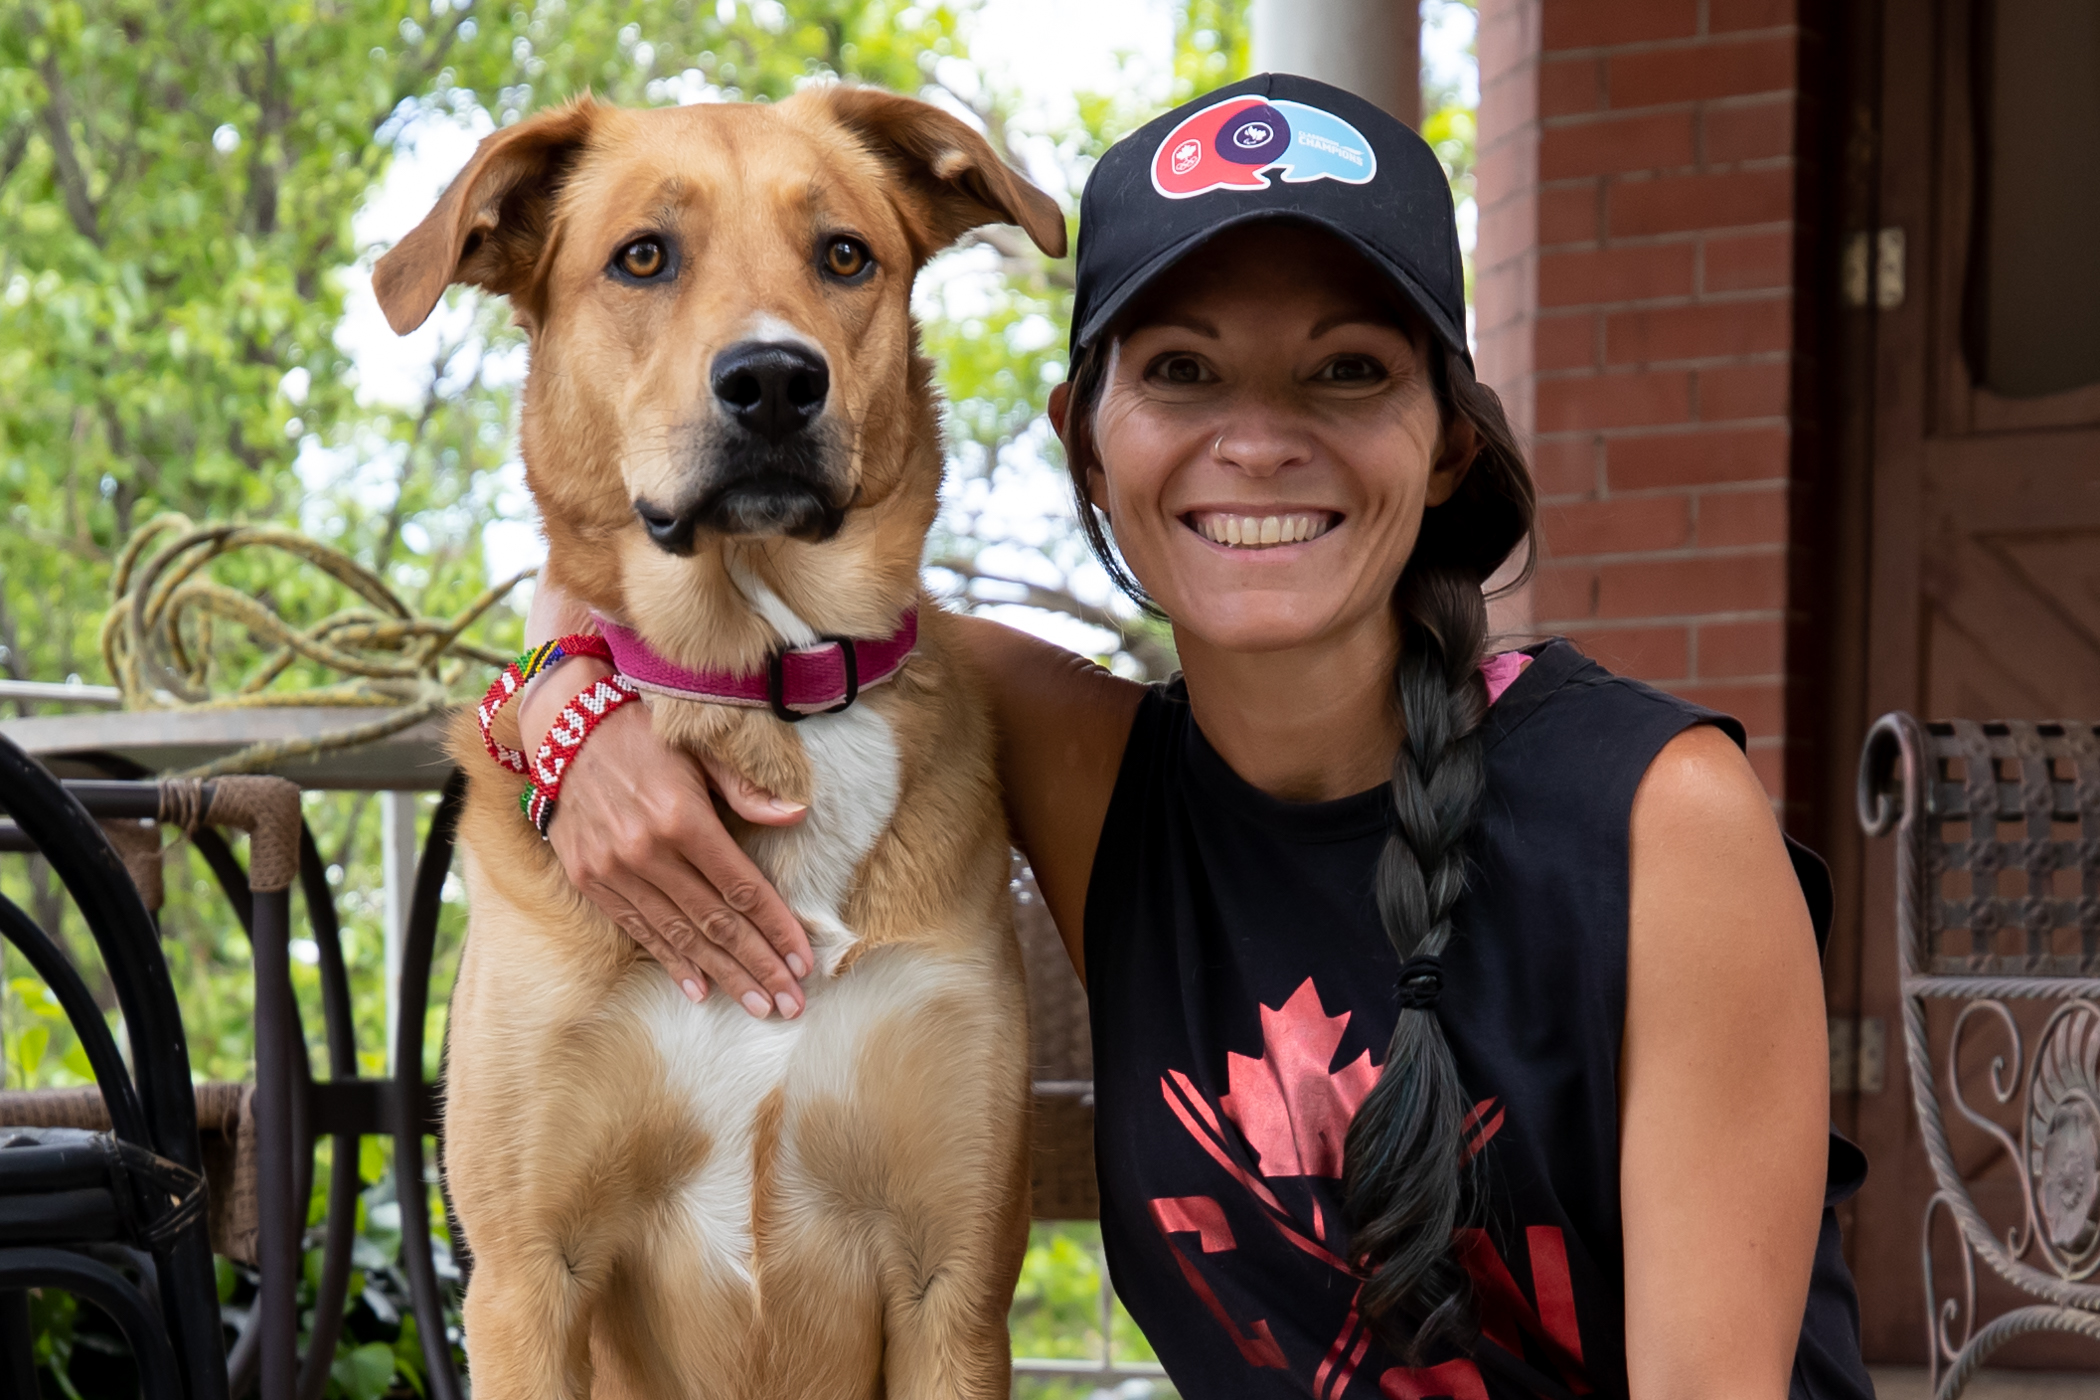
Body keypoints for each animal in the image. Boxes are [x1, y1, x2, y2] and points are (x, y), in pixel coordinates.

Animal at [369, 90, 1066, 1400]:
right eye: (644, 256)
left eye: (844, 254)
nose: (776, 379)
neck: (760, 682)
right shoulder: (527, 1281)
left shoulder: (952, 1284)